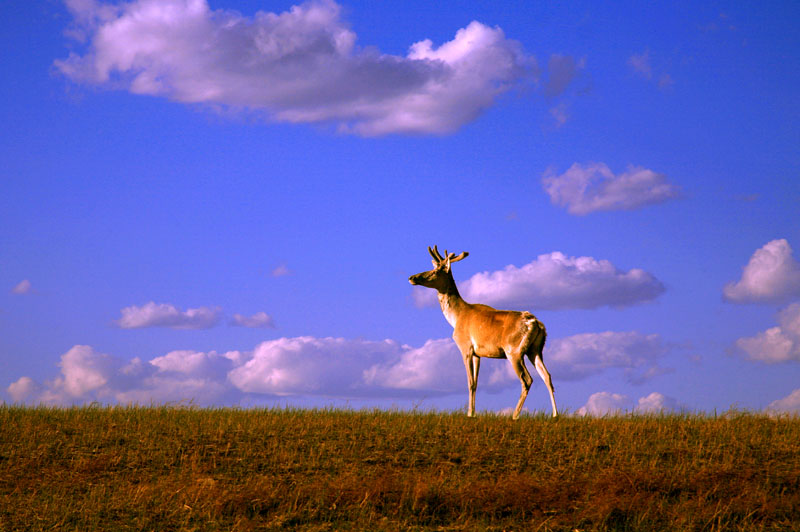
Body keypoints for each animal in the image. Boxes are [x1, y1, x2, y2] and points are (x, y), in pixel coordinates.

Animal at [410, 246, 552, 420]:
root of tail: (536, 323)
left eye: (436, 270)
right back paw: (554, 414)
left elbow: (470, 382)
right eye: (433, 267)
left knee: (527, 379)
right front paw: (473, 412)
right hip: (535, 350)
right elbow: (476, 383)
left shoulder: (465, 347)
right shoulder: (478, 353)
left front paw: (469, 414)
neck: (456, 318)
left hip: (514, 351)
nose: (412, 277)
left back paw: (514, 415)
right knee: (547, 376)